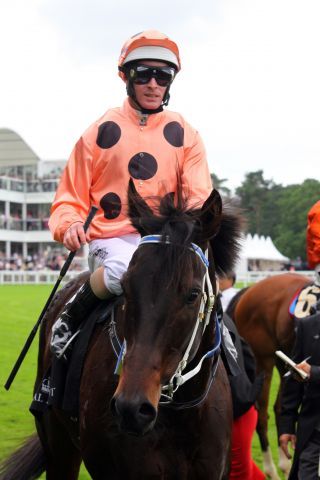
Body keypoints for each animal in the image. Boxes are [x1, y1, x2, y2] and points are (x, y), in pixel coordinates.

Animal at [228, 272, 312, 478]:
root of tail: (249, 291)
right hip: (263, 360)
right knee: (261, 415)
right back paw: (271, 470)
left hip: (283, 360)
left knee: (280, 409)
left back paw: (284, 465)